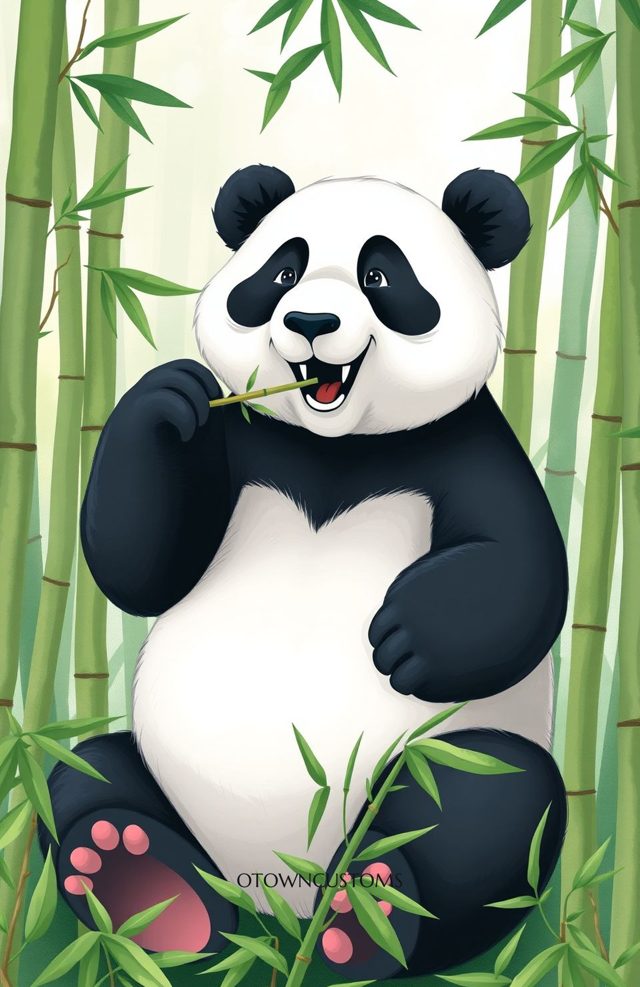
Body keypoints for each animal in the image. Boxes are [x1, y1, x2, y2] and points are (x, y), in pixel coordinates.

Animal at [42, 165, 568, 980]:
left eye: (380, 275)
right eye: (283, 272)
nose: (312, 320)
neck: (336, 445)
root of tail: (275, 902)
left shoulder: (467, 442)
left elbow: (521, 567)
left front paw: (405, 636)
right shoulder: (241, 434)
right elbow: (141, 560)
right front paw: (168, 398)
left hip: (440, 757)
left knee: (483, 803)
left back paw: (369, 910)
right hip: (157, 783)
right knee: (85, 770)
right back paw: (142, 881)